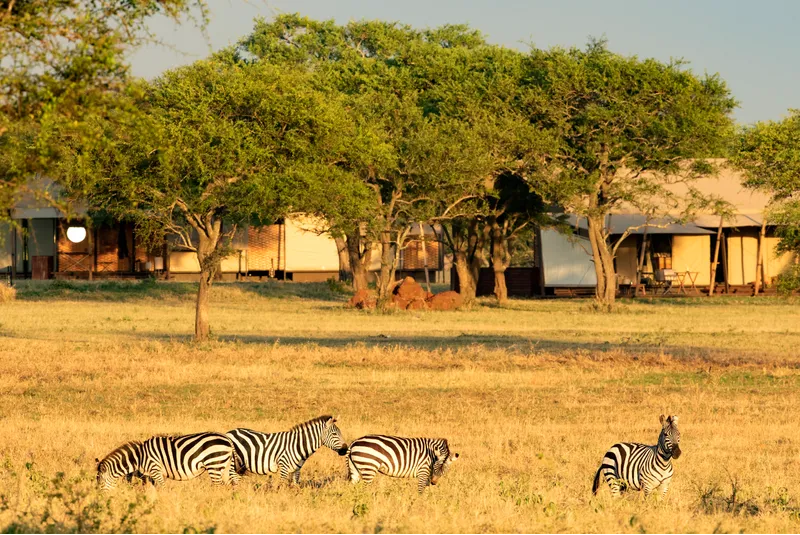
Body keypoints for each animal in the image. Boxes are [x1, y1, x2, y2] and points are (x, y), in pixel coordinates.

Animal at [94, 434, 238, 492]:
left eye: (99, 481)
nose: (99, 497)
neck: (139, 457)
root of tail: (228, 439)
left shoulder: (155, 469)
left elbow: (162, 488)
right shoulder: (150, 475)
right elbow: (152, 489)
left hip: (214, 464)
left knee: (218, 486)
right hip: (225, 466)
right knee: (230, 484)